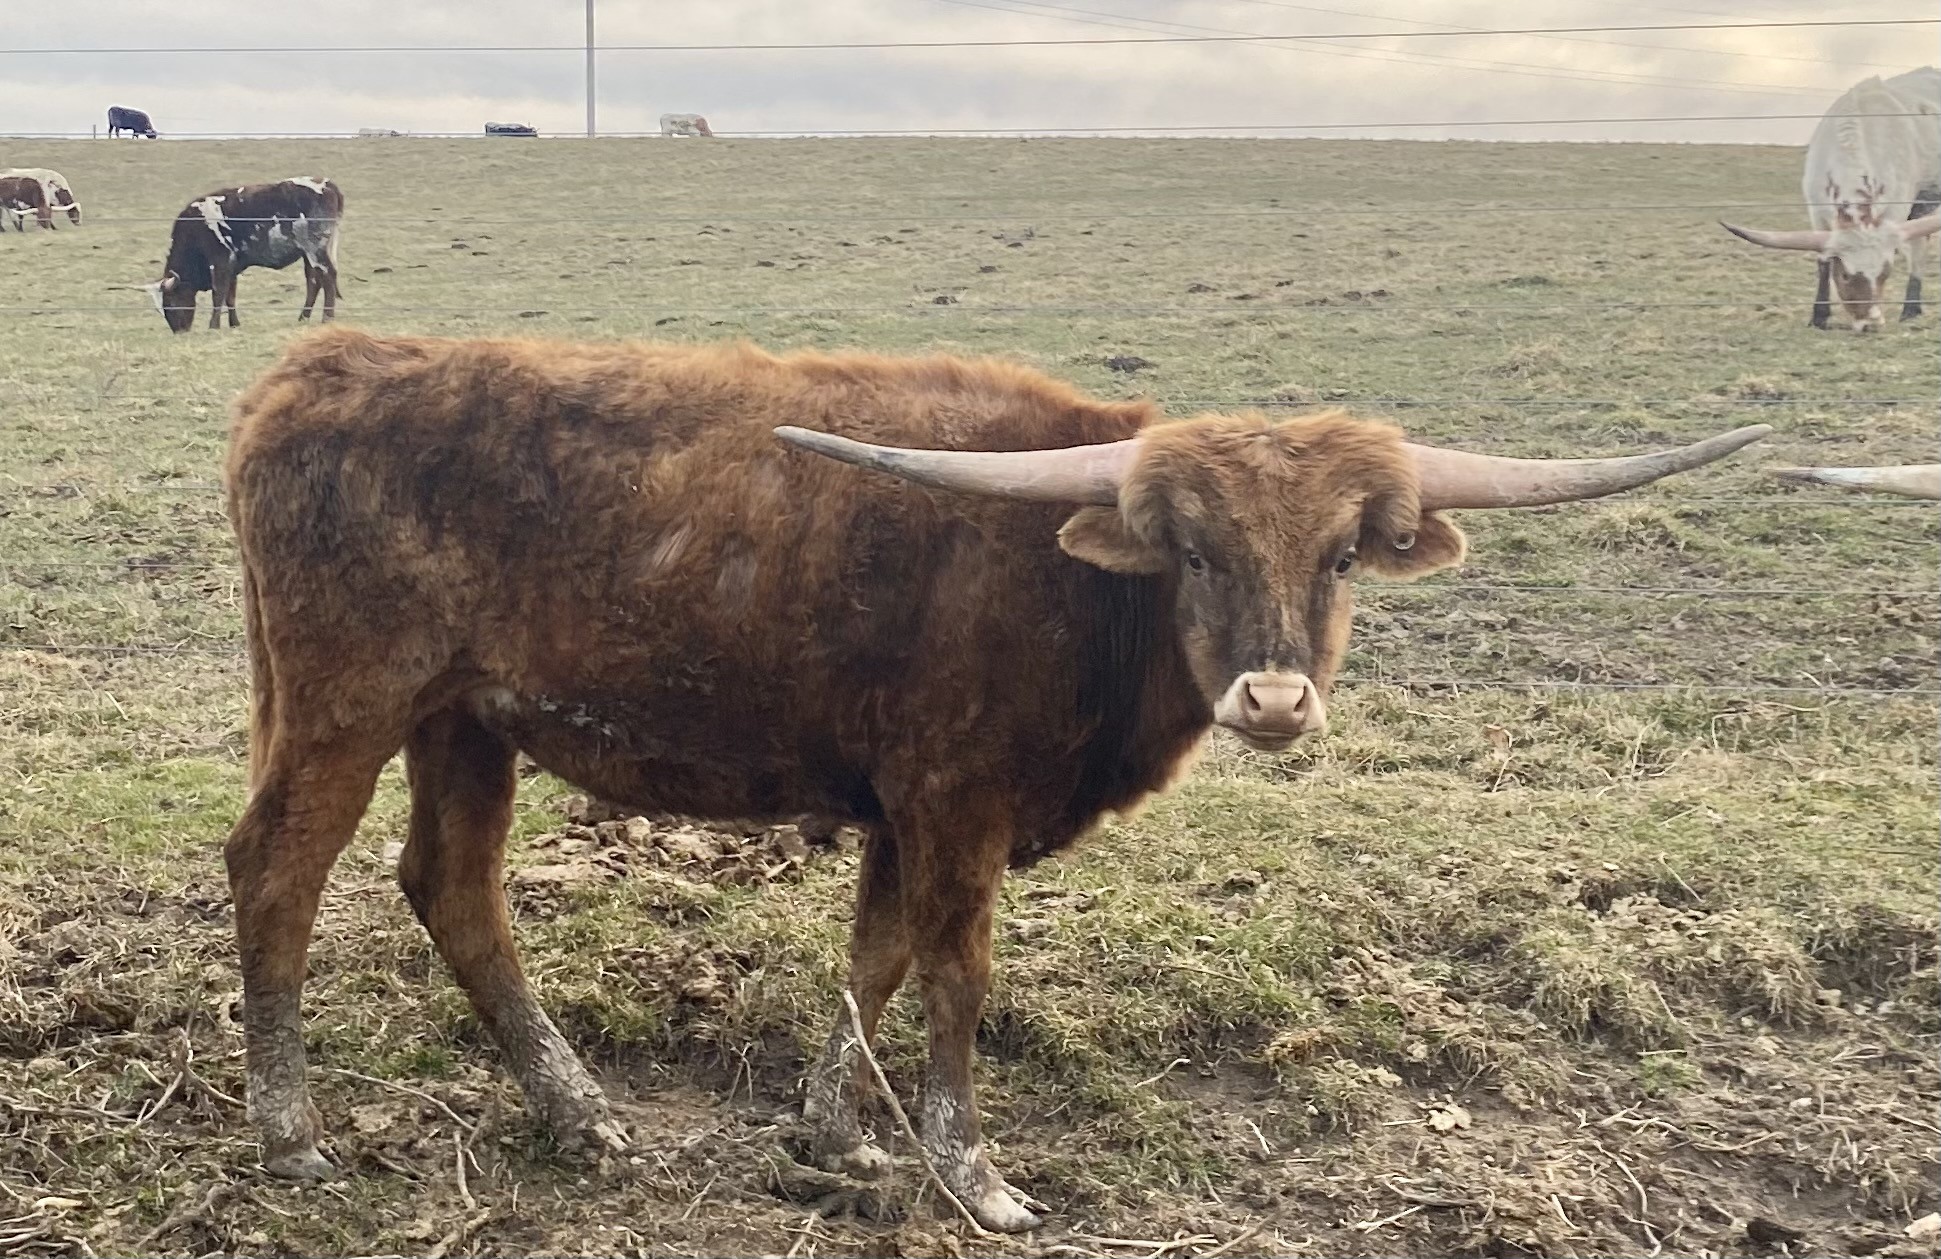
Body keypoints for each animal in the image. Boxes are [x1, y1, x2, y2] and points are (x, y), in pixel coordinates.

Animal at [140, 178, 342, 332]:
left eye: (171, 303)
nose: (179, 331)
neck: (194, 227)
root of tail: (327, 185)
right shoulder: (232, 266)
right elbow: (230, 296)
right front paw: (234, 323)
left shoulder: (220, 262)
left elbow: (218, 294)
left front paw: (213, 325)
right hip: (308, 253)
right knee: (313, 281)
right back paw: (303, 317)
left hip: (316, 249)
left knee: (328, 276)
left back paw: (327, 317)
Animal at [220, 328, 1766, 1232]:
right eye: (1192, 545)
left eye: (1338, 553)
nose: (1273, 698)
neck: (1074, 592)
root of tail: (317, 365)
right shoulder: (958, 800)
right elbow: (955, 975)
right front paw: (972, 1170)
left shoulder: (900, 809)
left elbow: (876, 960)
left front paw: (835, 1130)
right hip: (347, 701)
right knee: (278, 871)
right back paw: (292, 1128)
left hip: (464, 718)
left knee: (455, 890)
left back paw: (581, 1110)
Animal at [1722, 67, 1941, 331]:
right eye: (1845, 275)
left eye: (1885, 273)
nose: (1872, 323)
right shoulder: (1817, 211)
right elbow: (1824, 261)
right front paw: (1819, 316)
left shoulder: (1897, 209)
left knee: (1918, 249)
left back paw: (1911, 309)